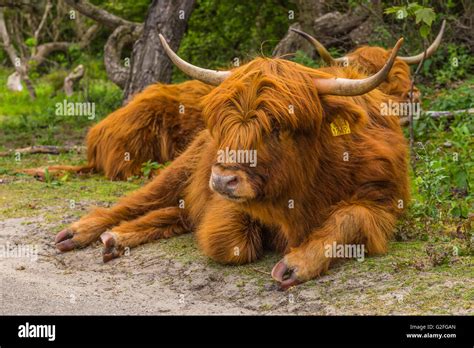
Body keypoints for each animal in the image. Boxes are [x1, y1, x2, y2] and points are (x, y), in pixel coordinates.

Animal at [54, 36, 412, 290]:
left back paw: (117, 238)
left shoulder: (383, 201)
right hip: (180, 169)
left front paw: (296, 264)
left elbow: (348, 218)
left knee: (178, 213)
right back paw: (81, 232)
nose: (222, 180)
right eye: (223, 122)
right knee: (135, 203)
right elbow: (230, 242)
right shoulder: (228, 204)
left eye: (278, 126)